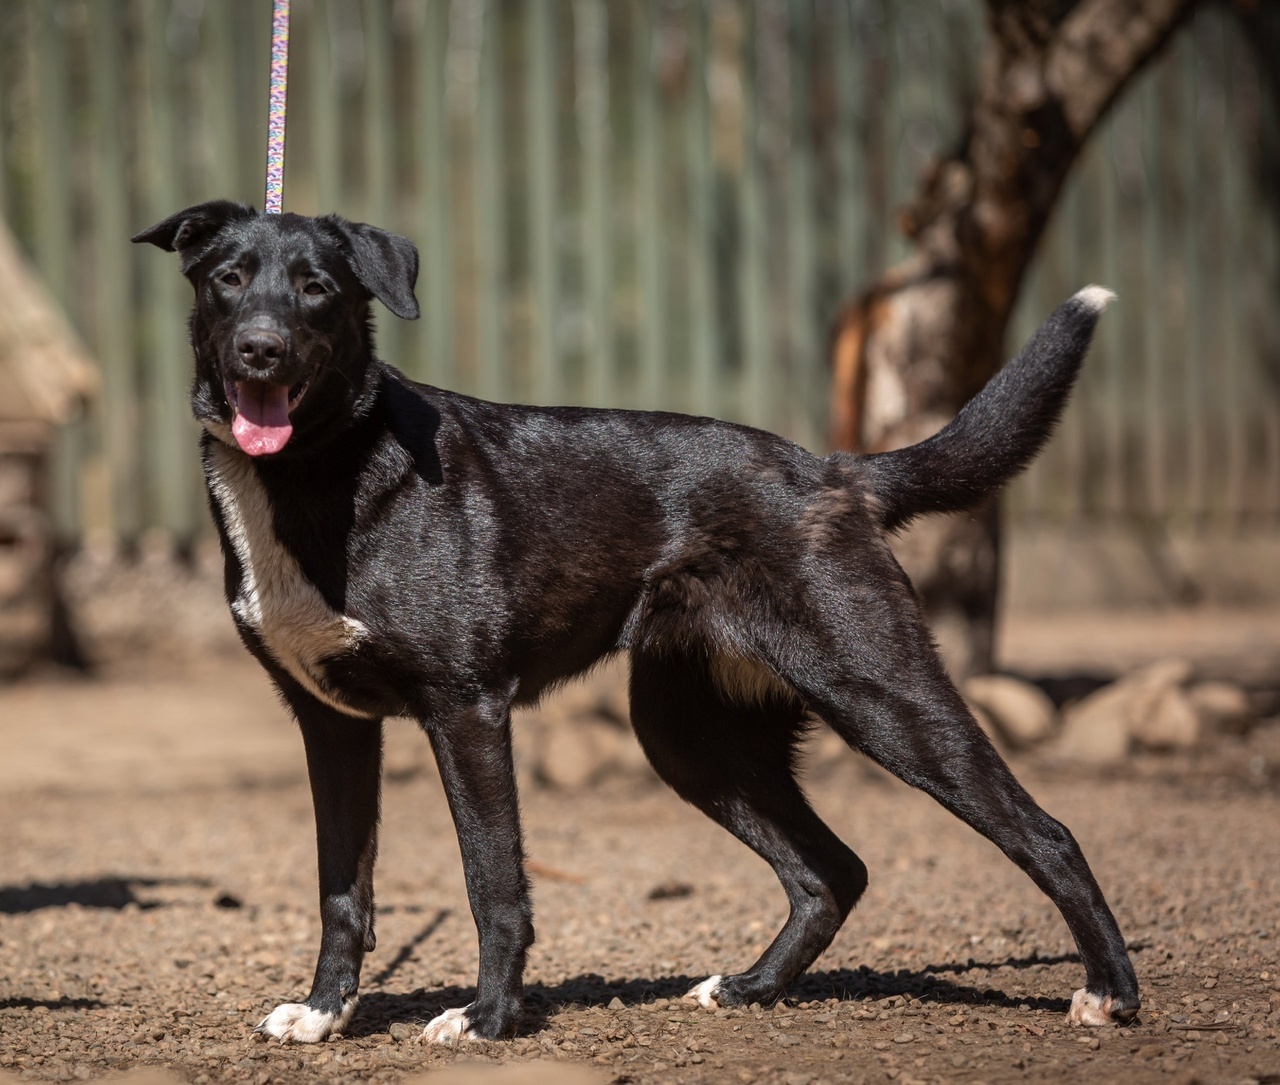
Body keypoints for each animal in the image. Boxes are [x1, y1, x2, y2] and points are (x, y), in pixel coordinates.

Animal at [132, 200, 1141, 1044]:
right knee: (833, 870)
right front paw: (323, 1012)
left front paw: (490, 1019)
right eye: (229, 278)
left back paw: (1111, 992)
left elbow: (493, 882)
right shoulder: (333, 726)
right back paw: (750, 988)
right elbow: (341, 887)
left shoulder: (467, 709)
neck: (319, 469)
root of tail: (833, 470)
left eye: (317, 289)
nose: (261, 349)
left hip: (881, 693)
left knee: (1044, 831)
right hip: (687, 735)